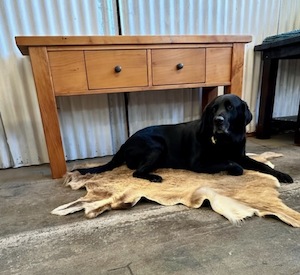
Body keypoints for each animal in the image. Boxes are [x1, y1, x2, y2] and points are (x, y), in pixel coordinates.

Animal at [77, 95, 292, 185]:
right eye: (214, 108)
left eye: (230, 107)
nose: (218, 120)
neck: (226, 139)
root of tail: (124, 143)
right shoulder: (199, 163)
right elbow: (232, 164)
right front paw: (234, 169)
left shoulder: (242, 155)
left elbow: (262, 165)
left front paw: (282, 175)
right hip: (156, 147)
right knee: (136, 172)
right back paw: (154, 176)